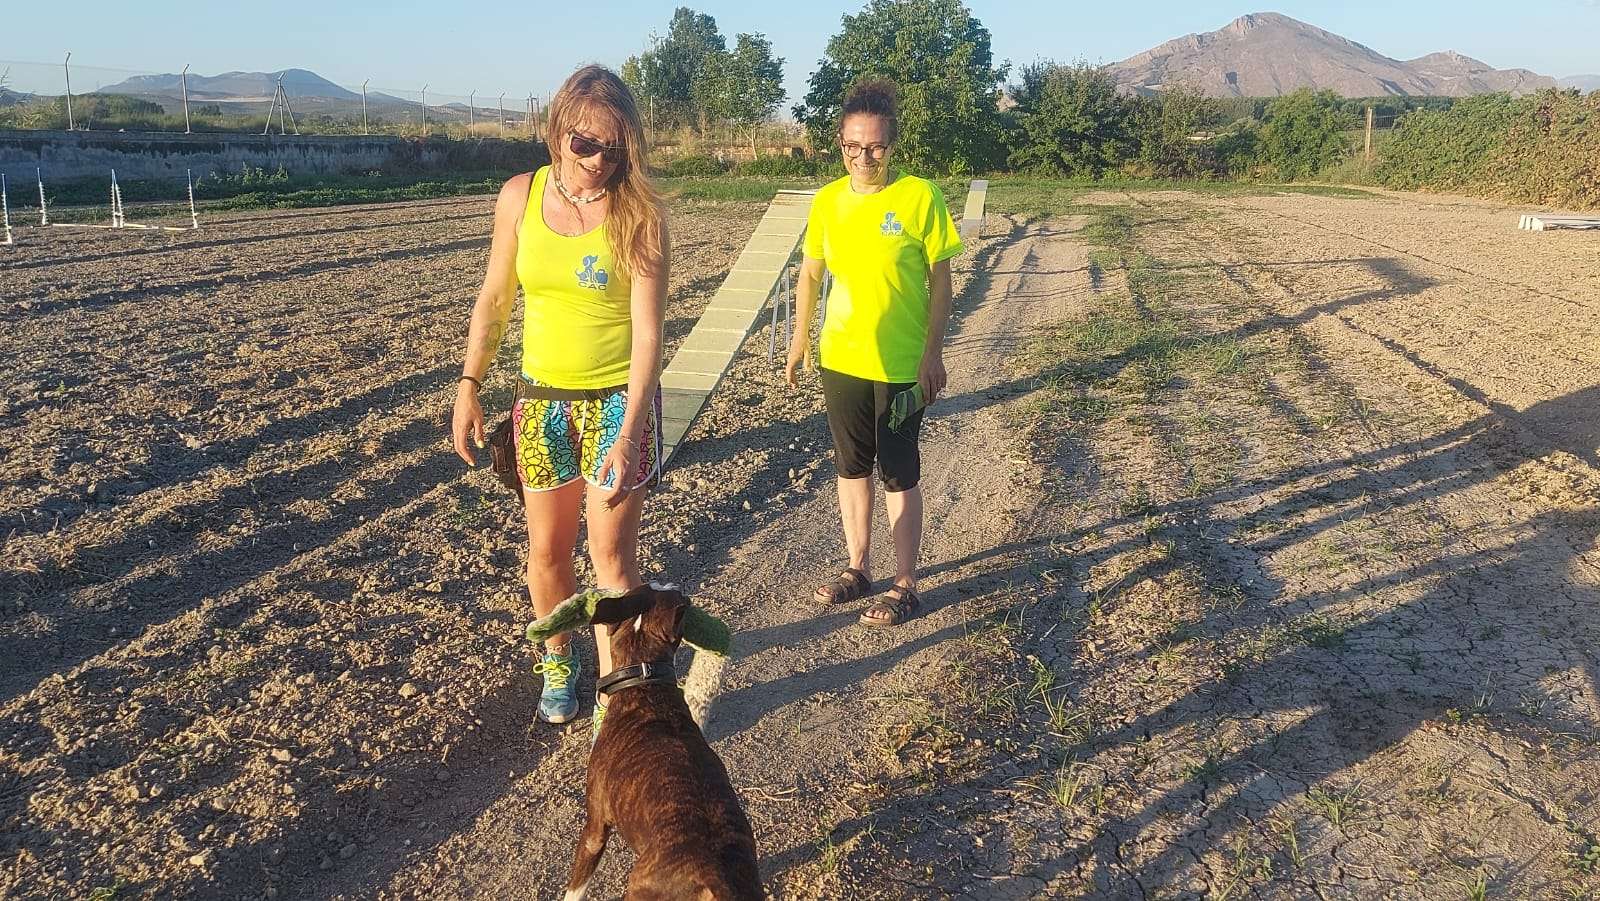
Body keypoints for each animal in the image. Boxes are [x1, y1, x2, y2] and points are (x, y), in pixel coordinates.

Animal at [563, 585, 761, 901]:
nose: (674, 586)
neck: (646, 683)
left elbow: (575, 889)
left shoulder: (594, 829)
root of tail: (713, 880)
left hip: (638, 888)